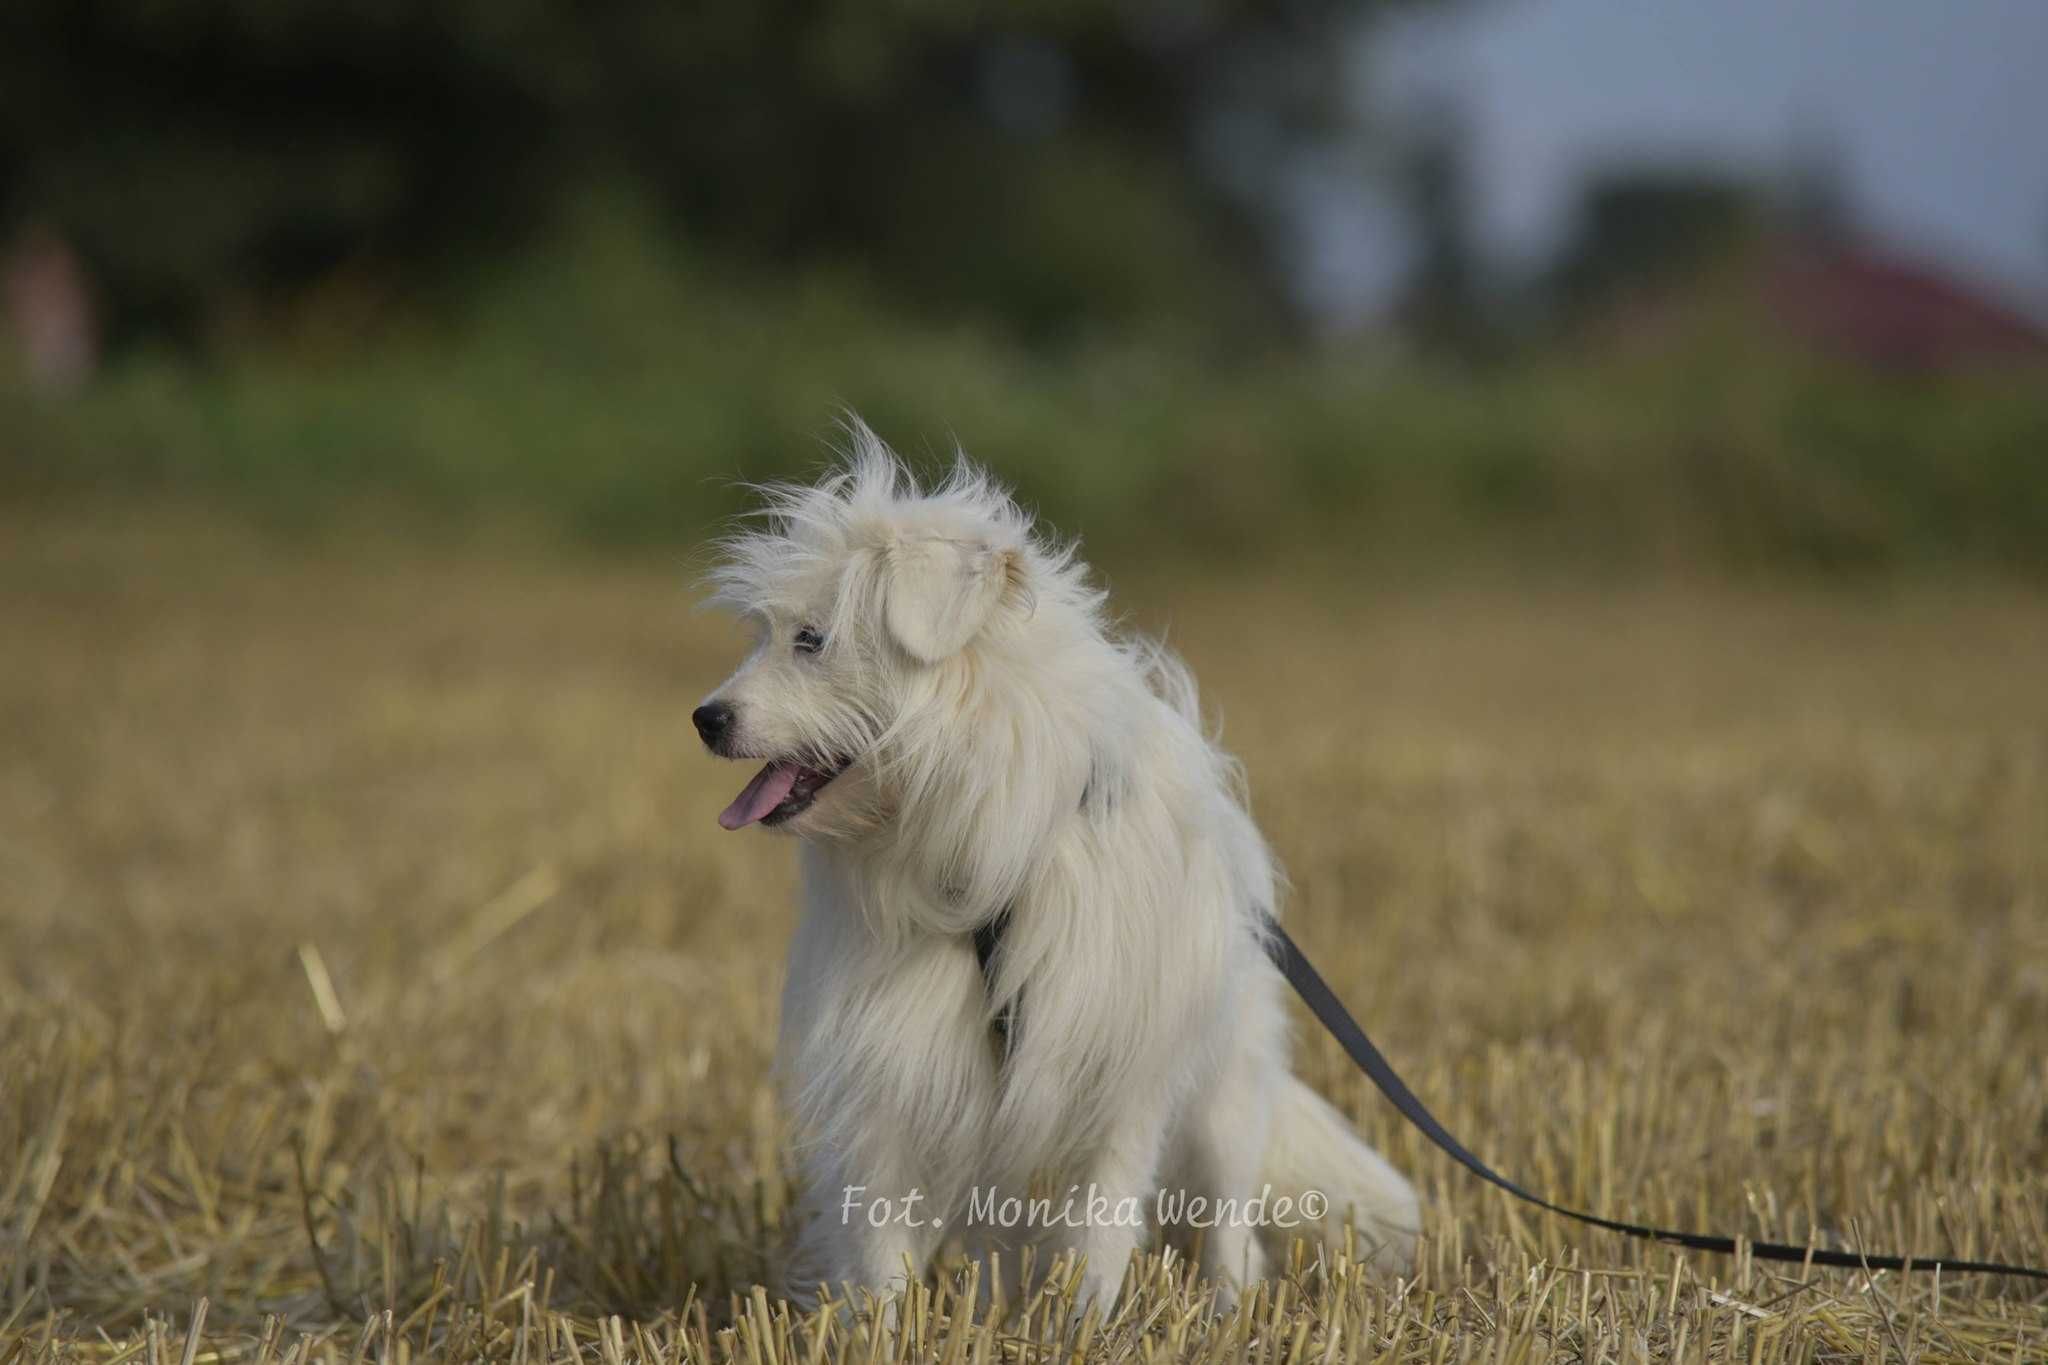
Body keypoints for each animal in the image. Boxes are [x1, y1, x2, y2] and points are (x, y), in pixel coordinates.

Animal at [696, 429, 1417, 1309]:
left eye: (812, 638)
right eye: (764, 635)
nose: (706, 718)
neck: (981, 844)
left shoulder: (1120, 1071)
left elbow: (1101, 1231)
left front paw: (1092, 1322)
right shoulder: (892, 1067)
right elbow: (881, 1244)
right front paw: (887, 1324)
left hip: (1226, 1088)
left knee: (1226, 1216)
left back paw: (1225, 1302)